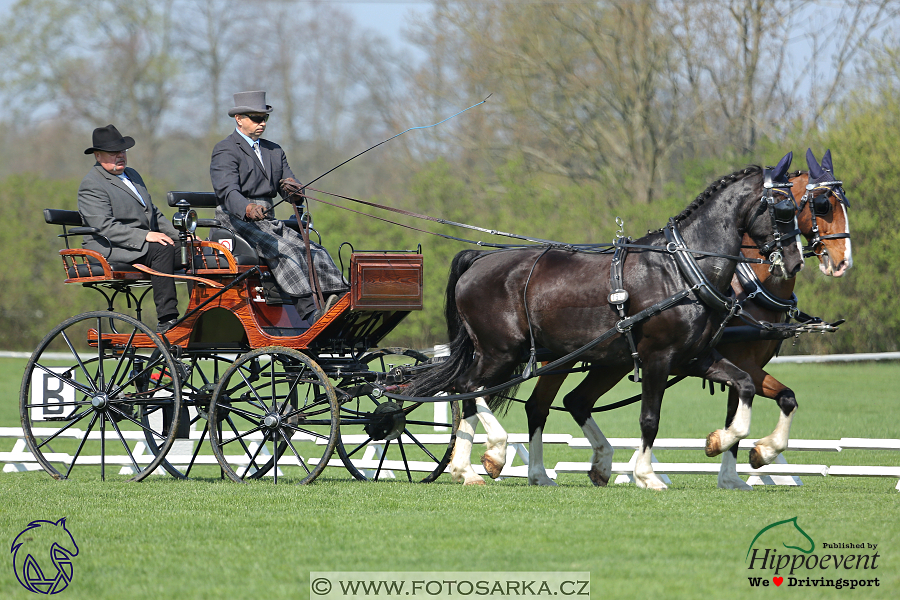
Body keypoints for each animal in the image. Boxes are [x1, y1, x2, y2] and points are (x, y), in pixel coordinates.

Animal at [408, 158, 800, 488]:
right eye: (784, 208)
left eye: (798, 208)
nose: (795, 261)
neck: (683, 271)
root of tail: (478, 260)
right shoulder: (658, 357)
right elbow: (650, 418)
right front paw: (646, 475)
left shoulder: (697, 357)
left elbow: (746, 386)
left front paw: (728, 443)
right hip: (500, 351)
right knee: (468, 388)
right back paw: (493, 452)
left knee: (497, 397)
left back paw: (482, 470)